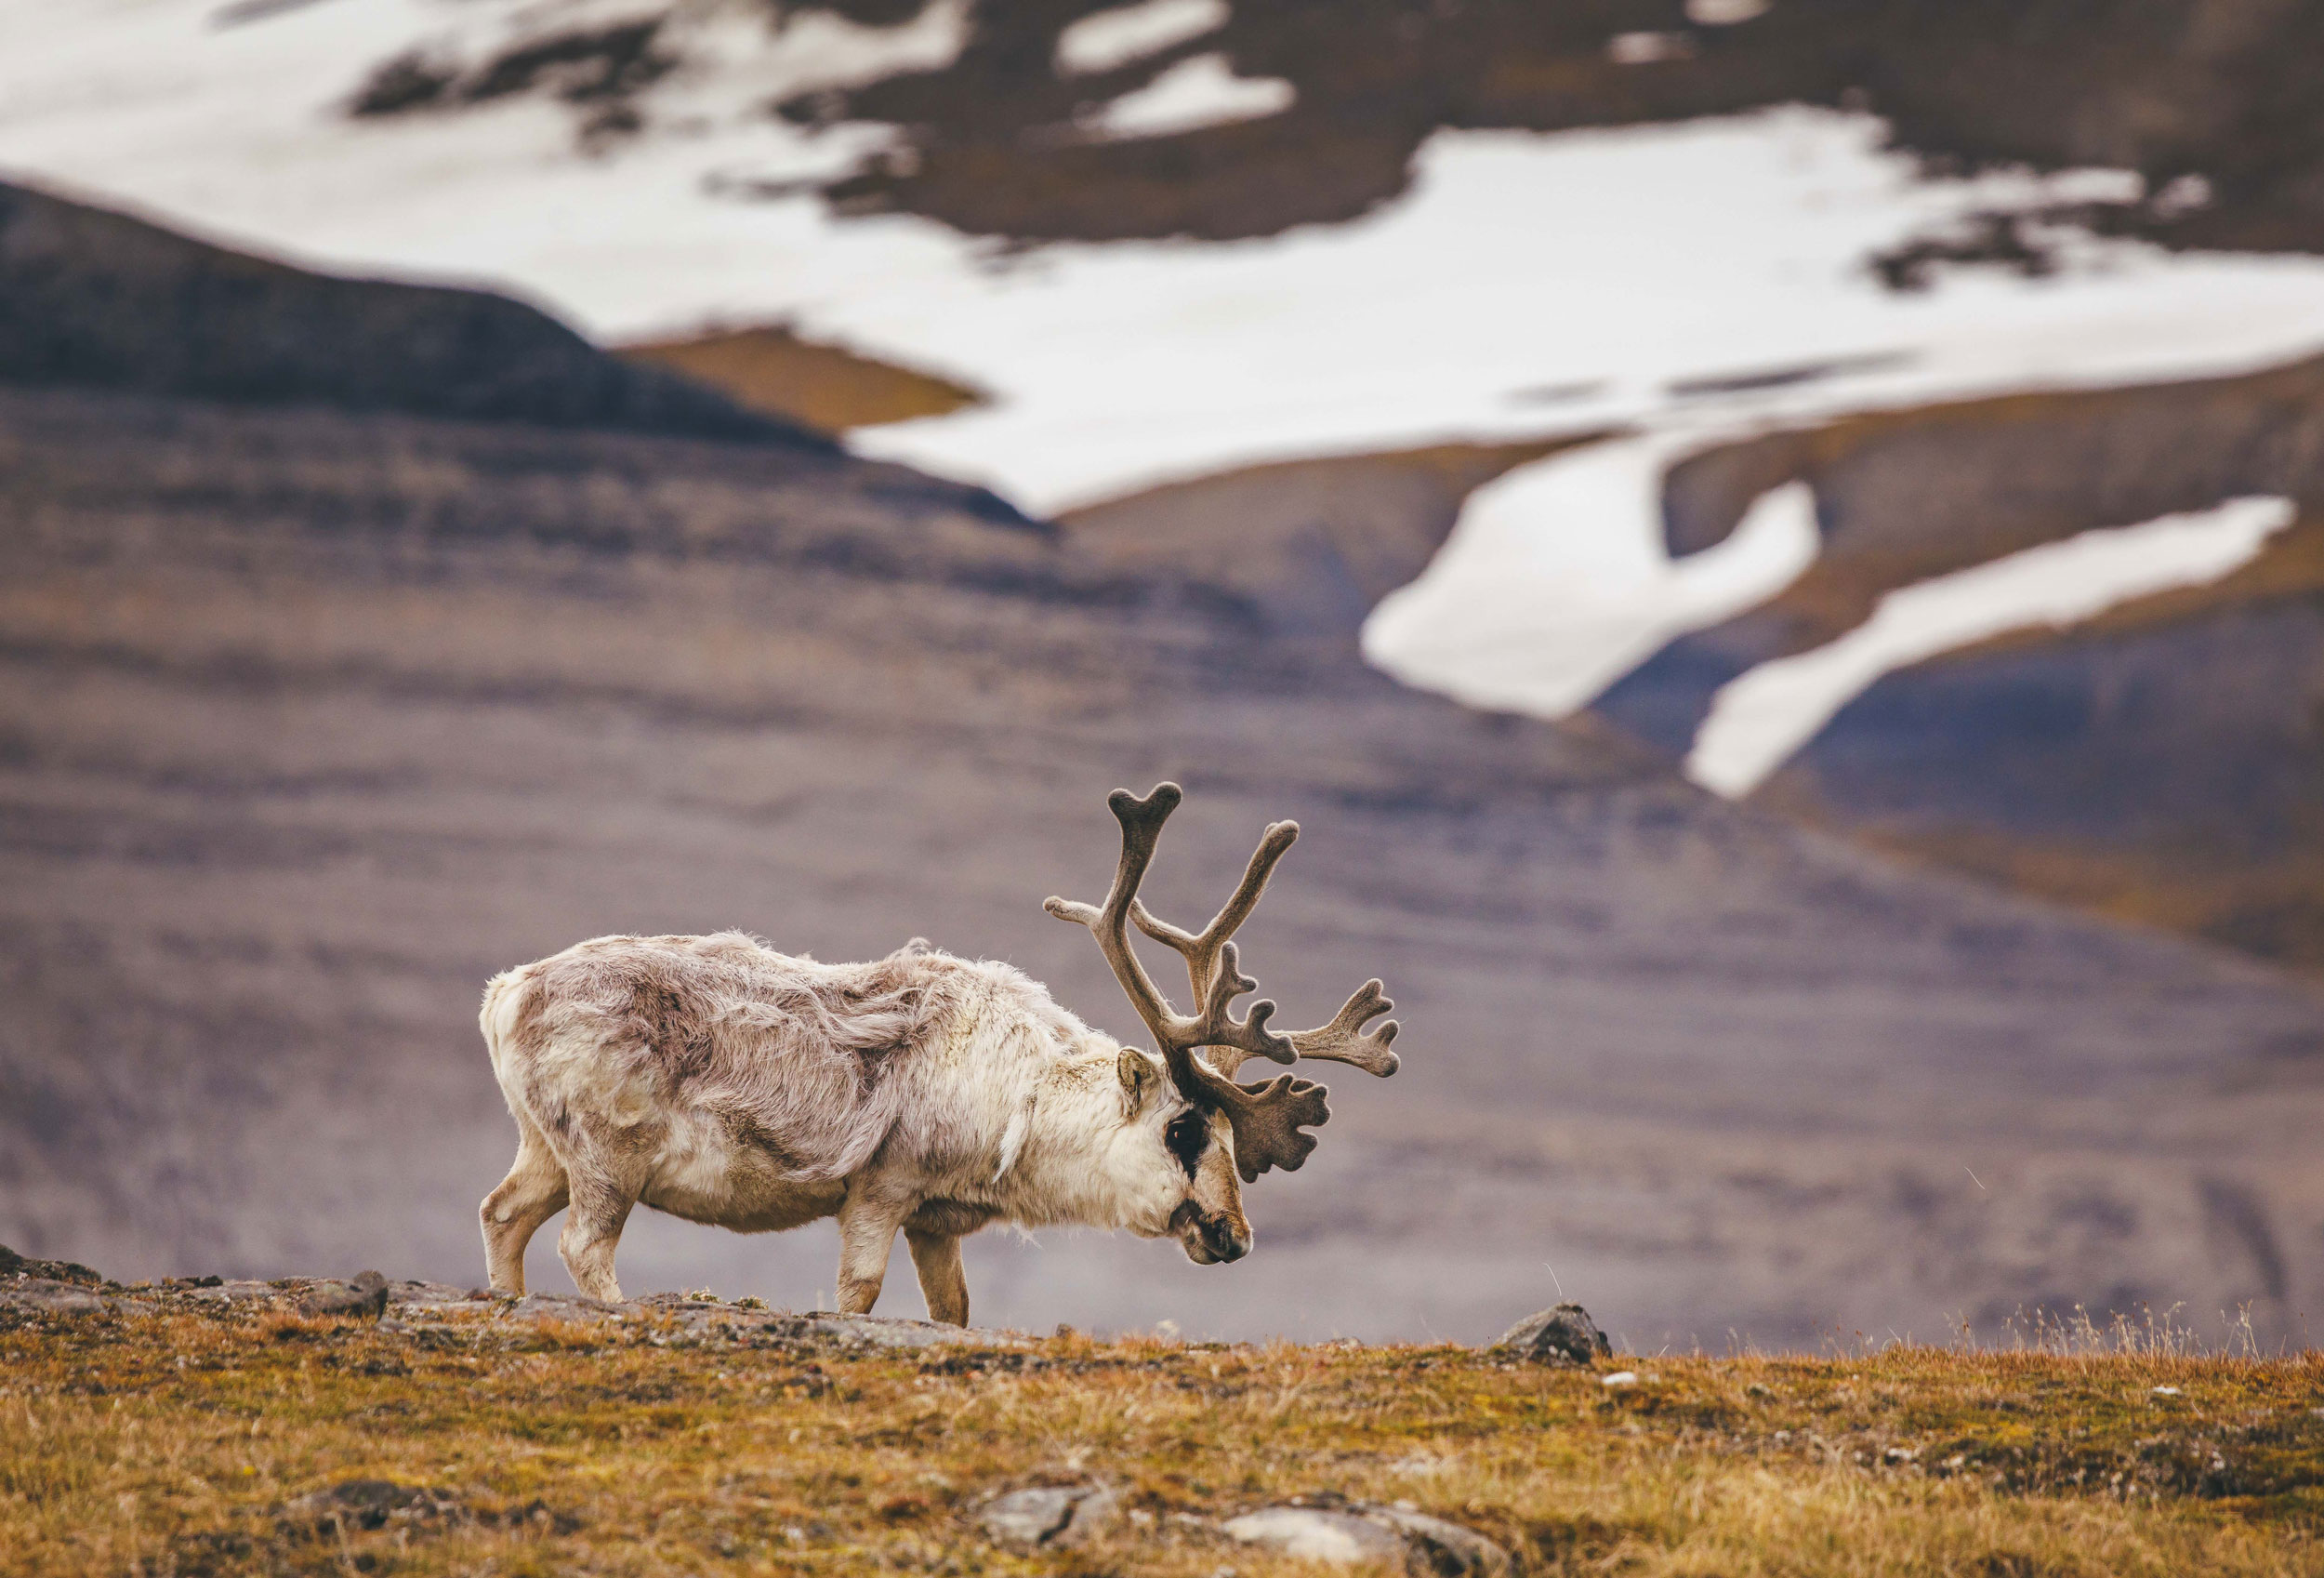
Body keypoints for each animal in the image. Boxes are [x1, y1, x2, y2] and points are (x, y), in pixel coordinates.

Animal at [476, 783, 1400, 1324]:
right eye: (1185, 1131)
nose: (1236, 1237)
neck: (1023, 1103)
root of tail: (504, 993)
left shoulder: (934, 1221)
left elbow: (953, 1308)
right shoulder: (880, 1189)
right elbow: (858, 1293)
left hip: (544, 1145)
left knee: (501, 1211)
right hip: (609, 1155)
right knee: (583, 1245)